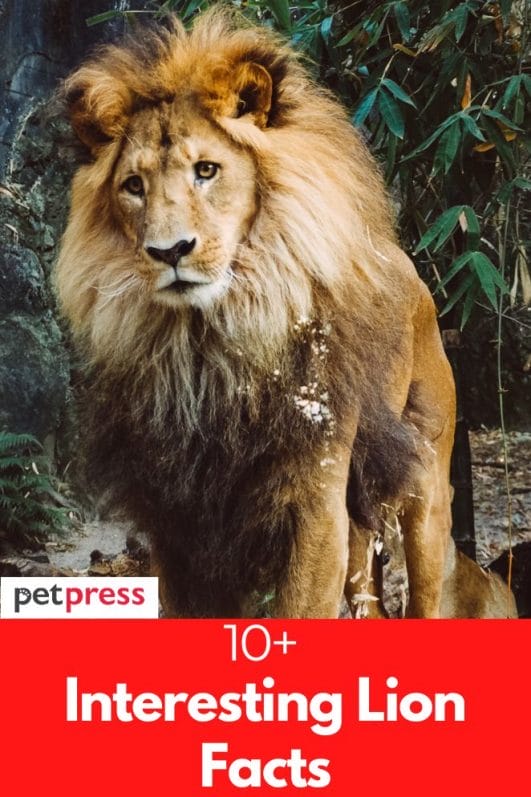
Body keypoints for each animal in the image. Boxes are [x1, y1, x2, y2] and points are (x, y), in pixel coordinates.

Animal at [55, 9, 516, 618]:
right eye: (133, 186)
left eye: (207, 170)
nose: (169, 251)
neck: (209, 344)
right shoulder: (178, 519)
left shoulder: (315, 503)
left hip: (427, 491)